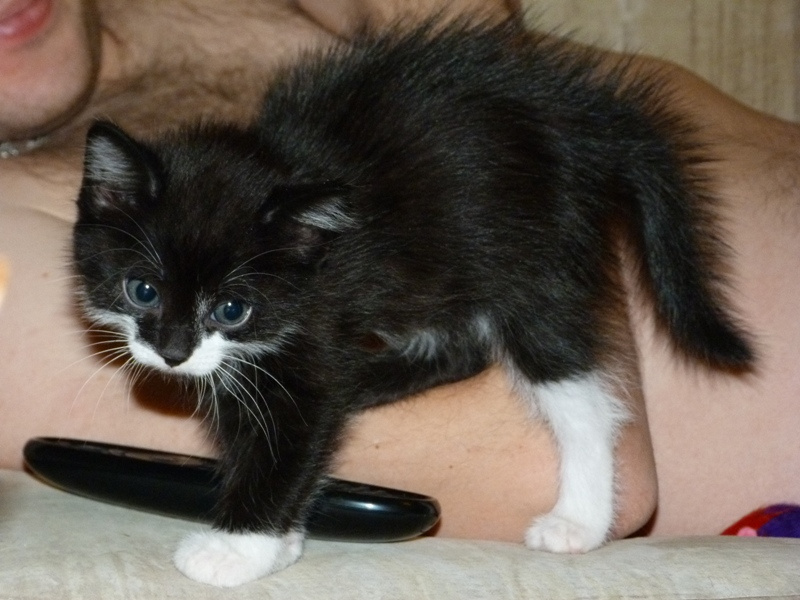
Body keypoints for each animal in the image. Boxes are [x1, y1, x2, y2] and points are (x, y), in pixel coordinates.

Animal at [72, 16, 754, 587]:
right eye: (142, 290)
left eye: (231, 309)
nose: (172, 353)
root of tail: (579, 117)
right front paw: (285, 538)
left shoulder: (310, 337)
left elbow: (286, 440)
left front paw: (237, 548)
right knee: (461, 348)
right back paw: (370, 379)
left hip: (534, 257)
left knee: (580, 399)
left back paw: (579, 521)